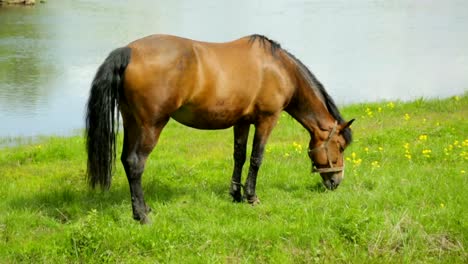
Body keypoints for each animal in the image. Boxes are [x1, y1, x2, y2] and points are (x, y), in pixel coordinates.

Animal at [85, 33, 354, 223]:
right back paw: (142, 216)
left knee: (125, 160)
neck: (278, 68)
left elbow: (239, 156)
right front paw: (251, 197)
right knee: (135, 163)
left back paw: (143, 209)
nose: (336, 181)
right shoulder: (267, 120)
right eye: (340, 146)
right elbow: (257, 158)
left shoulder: (242, 122)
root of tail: (129, 51)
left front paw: (235, 195)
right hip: (151, 125)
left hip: (131, 121)